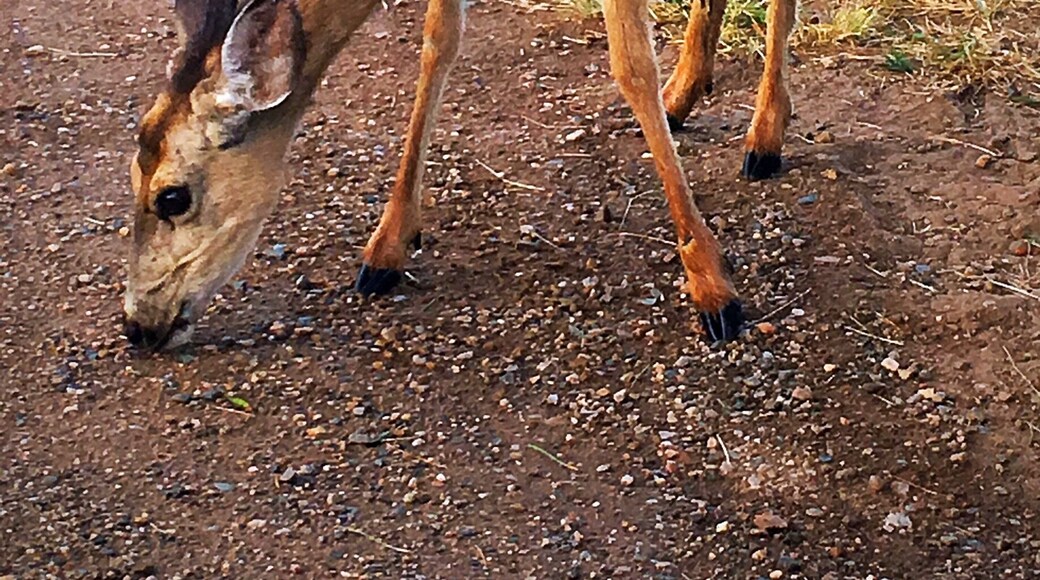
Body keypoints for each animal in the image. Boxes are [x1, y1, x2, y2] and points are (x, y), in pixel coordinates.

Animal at [123, 0, 797, 350]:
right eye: (130, 170)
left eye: (171, 196)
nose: (136, 325)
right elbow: (438, 41)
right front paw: (387, 248)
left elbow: (630, 64)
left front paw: (712, 285)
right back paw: (688, 93)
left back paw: (764, 136)